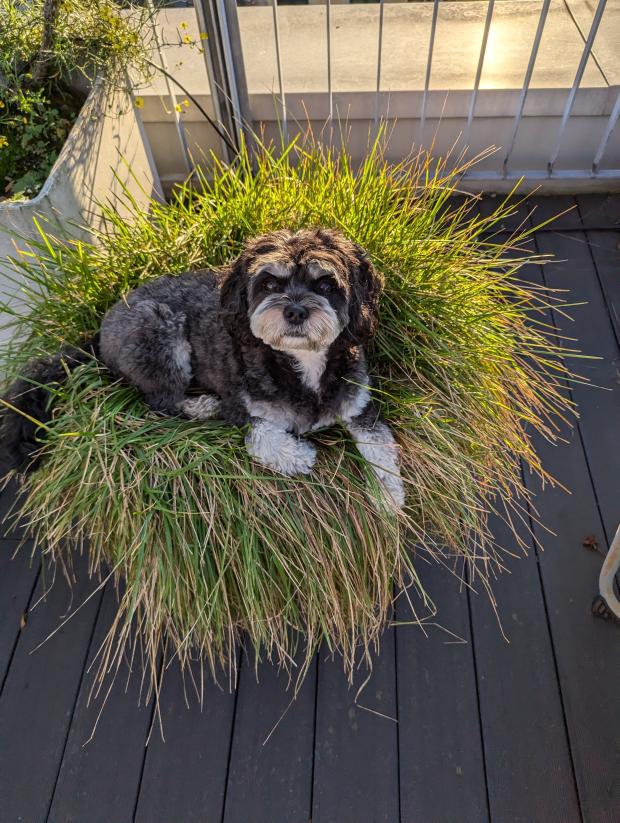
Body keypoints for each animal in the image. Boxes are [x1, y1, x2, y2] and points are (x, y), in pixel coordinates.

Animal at [1, 227, 406, 508]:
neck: (302, 365)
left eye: (325, 283)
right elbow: (262, 440)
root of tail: (99, 334)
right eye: (268, 283)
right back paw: (202, 406)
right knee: (159, 402)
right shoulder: (244, 408)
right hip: (159, 332)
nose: (293, 311)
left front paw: (389, 500)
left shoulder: (361, 409)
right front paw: (299, 456)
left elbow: (382, 451)